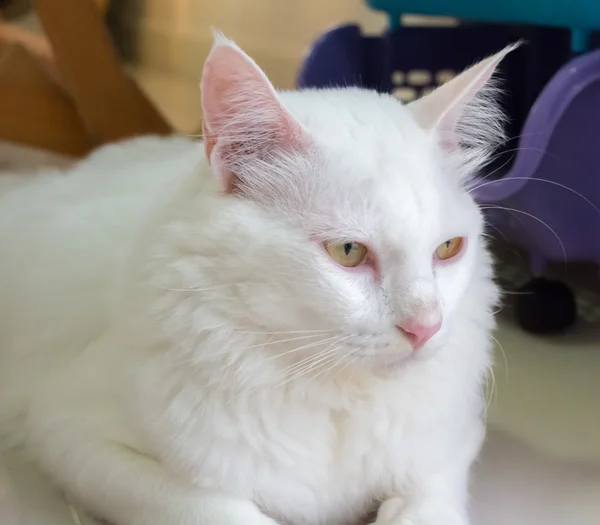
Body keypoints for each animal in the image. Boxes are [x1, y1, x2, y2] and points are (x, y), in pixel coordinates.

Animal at [0, 35, 516, 524]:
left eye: (448, 249)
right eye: (348, 252)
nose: (425, 327)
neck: (333, 394)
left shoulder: (455, 438)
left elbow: (428, 500)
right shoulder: (71, 433)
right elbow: (215, 509)